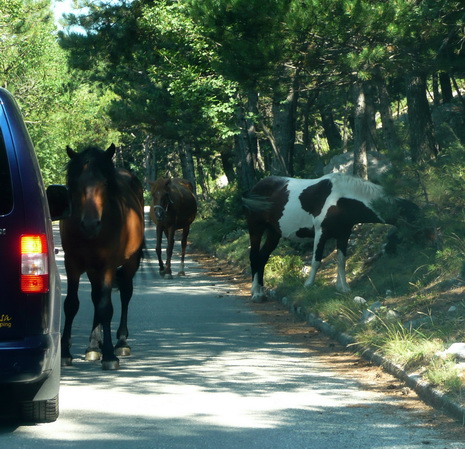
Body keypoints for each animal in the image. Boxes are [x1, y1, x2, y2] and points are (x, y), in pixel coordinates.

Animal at [60, 145, 143, 370]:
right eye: (75, 183)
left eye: (105, 183)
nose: (90, 224)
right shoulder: (72, 264)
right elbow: (71, 304)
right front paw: (65, 353)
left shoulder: (107, 266)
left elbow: (106, 308)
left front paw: (109, 355)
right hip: (92, 270)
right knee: (96, 297)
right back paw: (92, 346)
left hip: (130, 262)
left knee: (125, 293)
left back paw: (121, 343)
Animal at [241, 172, 418, 300]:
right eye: (412, 216)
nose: (423, 233)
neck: (341, 199)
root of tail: (253, 189)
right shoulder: (321, 233)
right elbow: (316, 261)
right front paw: (308, 285)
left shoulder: (344, 234)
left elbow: (341, 261)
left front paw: (343, 288)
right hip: (256, 228)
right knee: (254, 256)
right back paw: (256, 293)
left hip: (273, 233)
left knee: (263, 257)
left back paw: (260, 290)